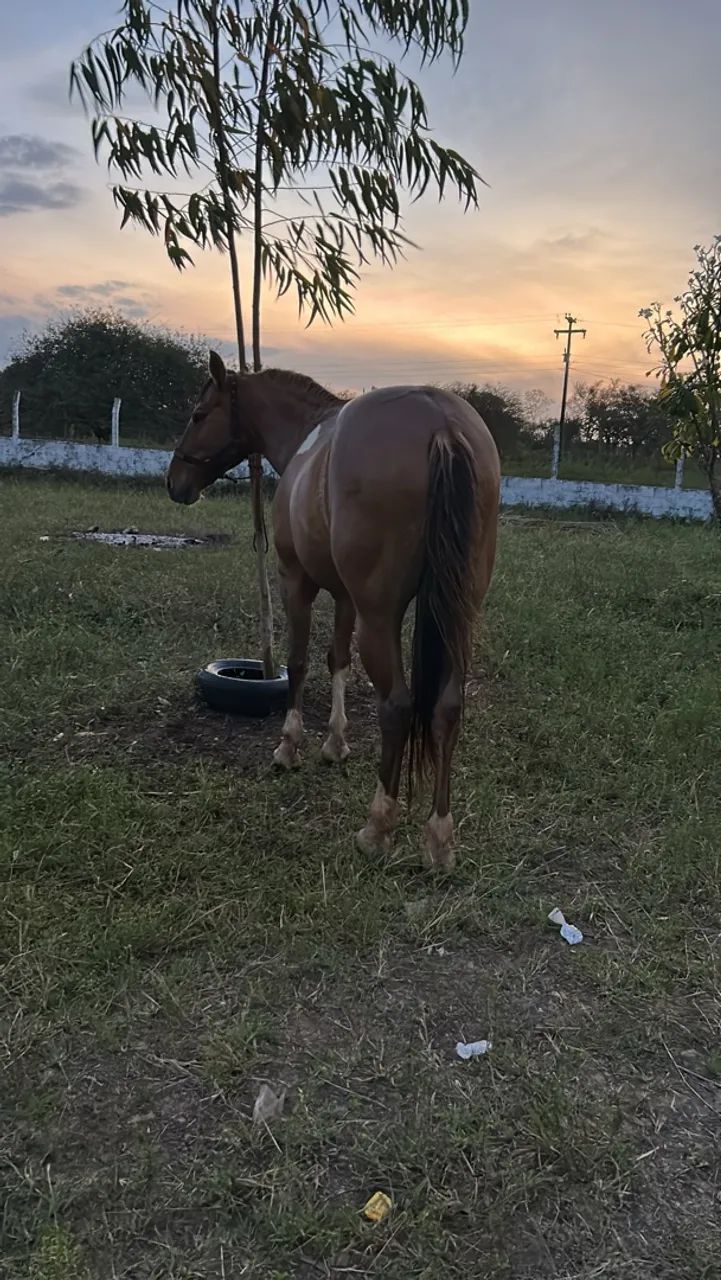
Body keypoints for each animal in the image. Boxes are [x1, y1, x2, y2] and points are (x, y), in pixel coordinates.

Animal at [167, 352, 500, 869]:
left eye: (199, 415)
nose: (174, 482)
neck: (307, 435)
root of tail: (442, 425)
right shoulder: (346, 596)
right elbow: (337, 660)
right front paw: (335, 742)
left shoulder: (296, 582)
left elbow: (299, 662)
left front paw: (289, 746)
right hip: (457, 616)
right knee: (447, 708)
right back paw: (439, 840)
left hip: (380, 615)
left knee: (397, 706)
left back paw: (377, 827)